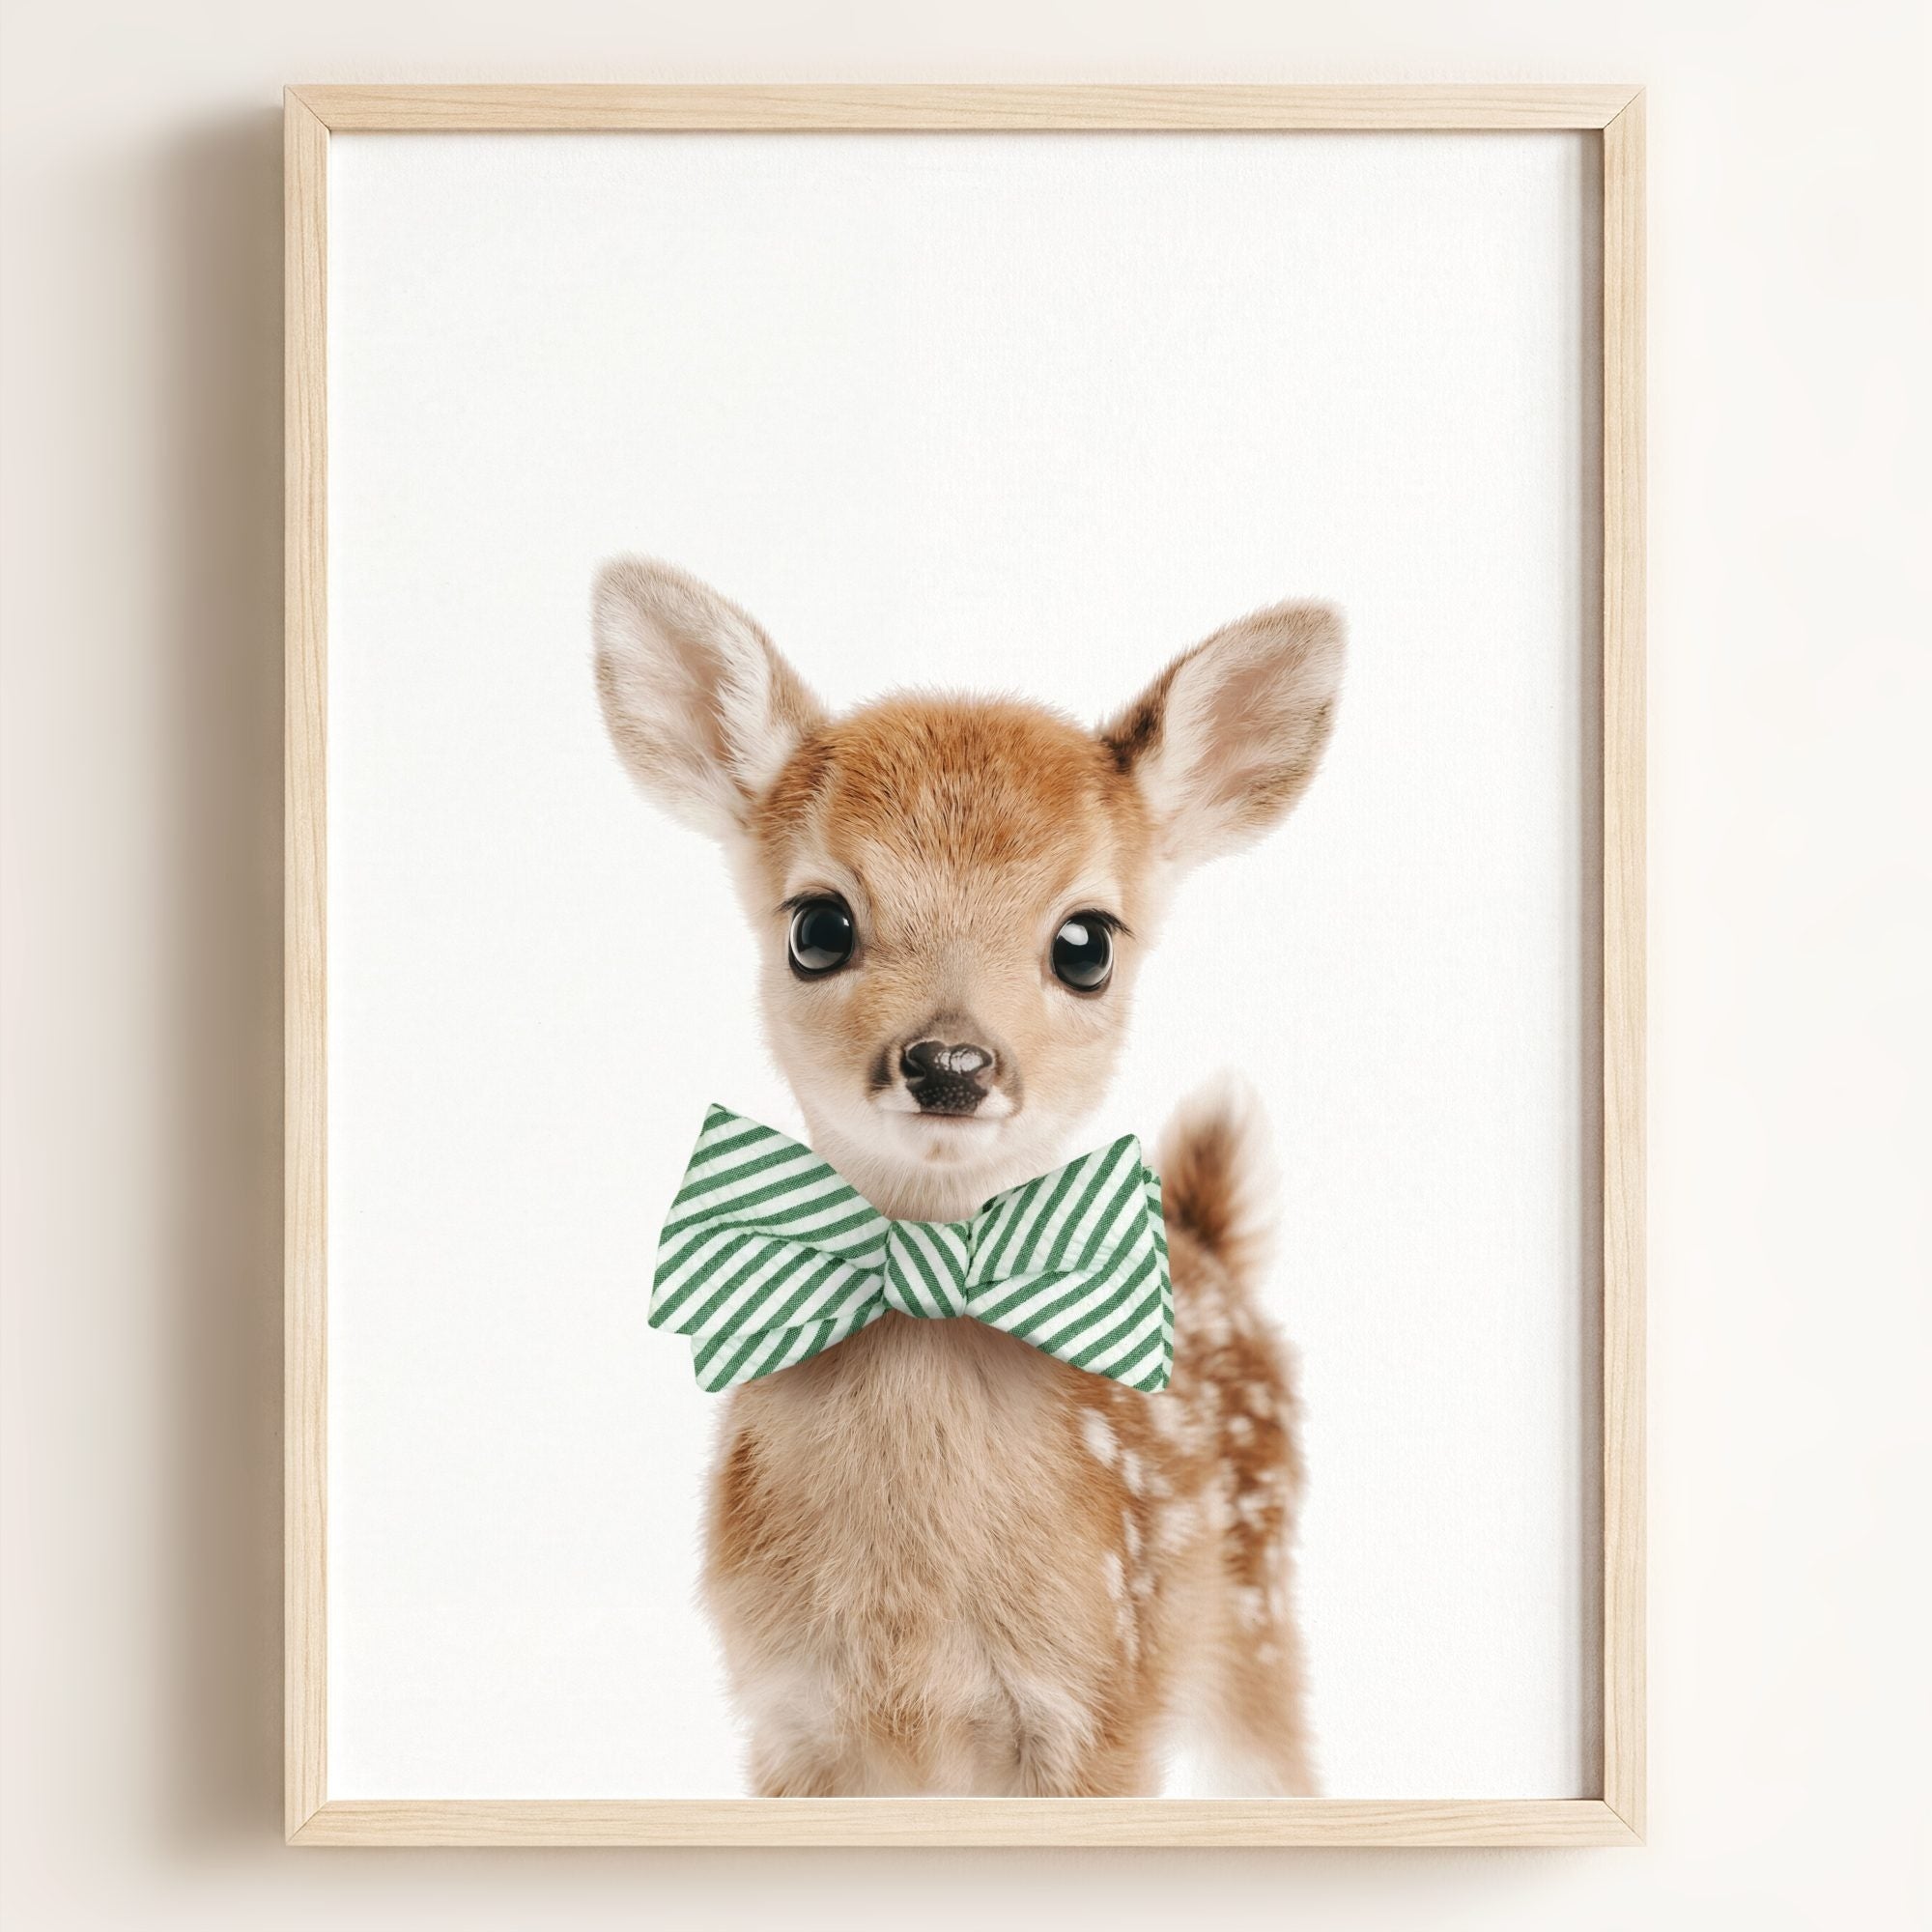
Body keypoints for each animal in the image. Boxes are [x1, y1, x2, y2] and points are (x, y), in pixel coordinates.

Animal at [594, 558, 1344, 1797]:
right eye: (817, 924)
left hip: (1258, 1617)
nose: (949, 1062)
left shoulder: (1103, 1704)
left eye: (1085, 942)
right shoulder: (784, 1717)